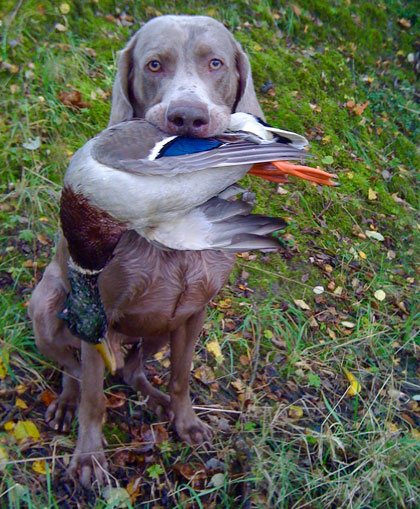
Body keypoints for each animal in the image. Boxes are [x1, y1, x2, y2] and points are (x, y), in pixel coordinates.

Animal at [29, 14, 264, 484]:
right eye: (154, 64)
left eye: (215, 62)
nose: (187, 117)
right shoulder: (99, 320)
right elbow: (94, 396)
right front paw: (89, 459)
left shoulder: (194, 313)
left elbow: (181, 375)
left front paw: (186, 422)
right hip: (44, 306)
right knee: (77, 371)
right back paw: (67, 402)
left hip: (161, 326)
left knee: (135, 369)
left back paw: (154, 399)